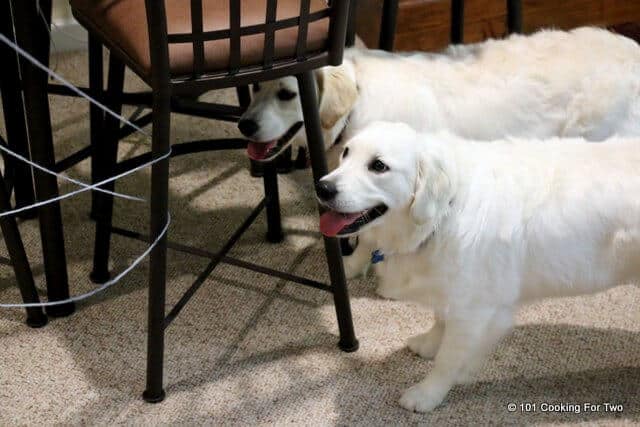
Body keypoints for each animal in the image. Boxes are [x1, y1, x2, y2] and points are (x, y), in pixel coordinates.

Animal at [318, 122, 640, 412]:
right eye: (345, 152)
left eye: (378, 166)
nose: (322, 187)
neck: (445, 212)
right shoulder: (454, 289)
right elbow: (440, 318)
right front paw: (429, 342)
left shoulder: (475, 311)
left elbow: (448, 360)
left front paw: (427, 394)